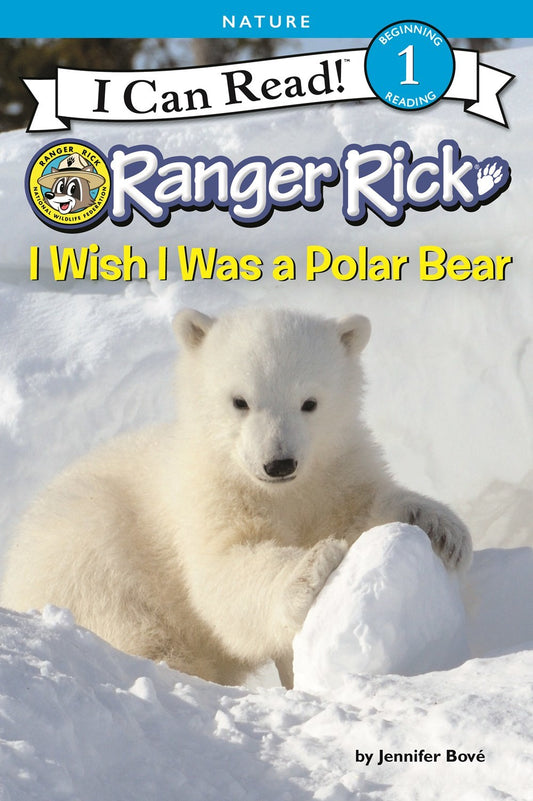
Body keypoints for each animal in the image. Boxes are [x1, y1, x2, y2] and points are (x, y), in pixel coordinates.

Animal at [1, 307, 472, 688]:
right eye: (240, 401)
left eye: (310, 402)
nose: (279, 463)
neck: (279, 493)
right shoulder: (208, 494)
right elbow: (225, 571)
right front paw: (313, 565)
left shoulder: (332, 471)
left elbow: (361, 506)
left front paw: (441, 529)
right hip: (83, 551)